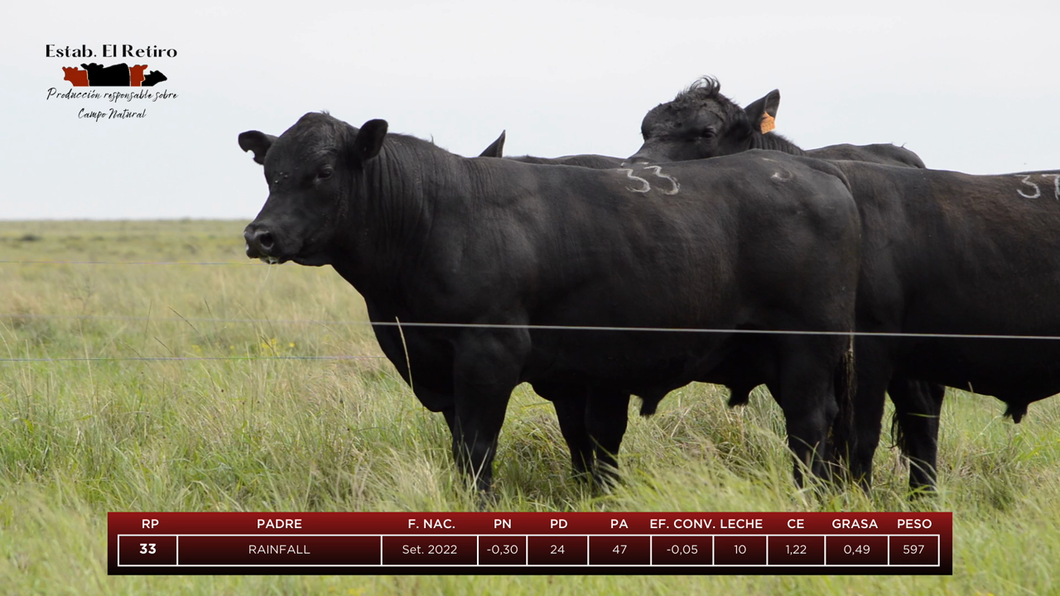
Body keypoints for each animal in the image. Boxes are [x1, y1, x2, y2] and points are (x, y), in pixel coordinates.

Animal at [240, 110, 860, 487]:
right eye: (271, 172)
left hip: (806, 351)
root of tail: (813, 168)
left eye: (323, 171)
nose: (259, 235)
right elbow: (471, 444)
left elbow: (478, 446)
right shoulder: (436, 362)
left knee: (809, 428)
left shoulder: (490, 351)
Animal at [631, 76, 1060, 489]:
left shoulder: (867, 347)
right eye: (645, 129)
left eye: (706, 132)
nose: (635, 168)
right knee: (921, 418)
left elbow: (856, 436)